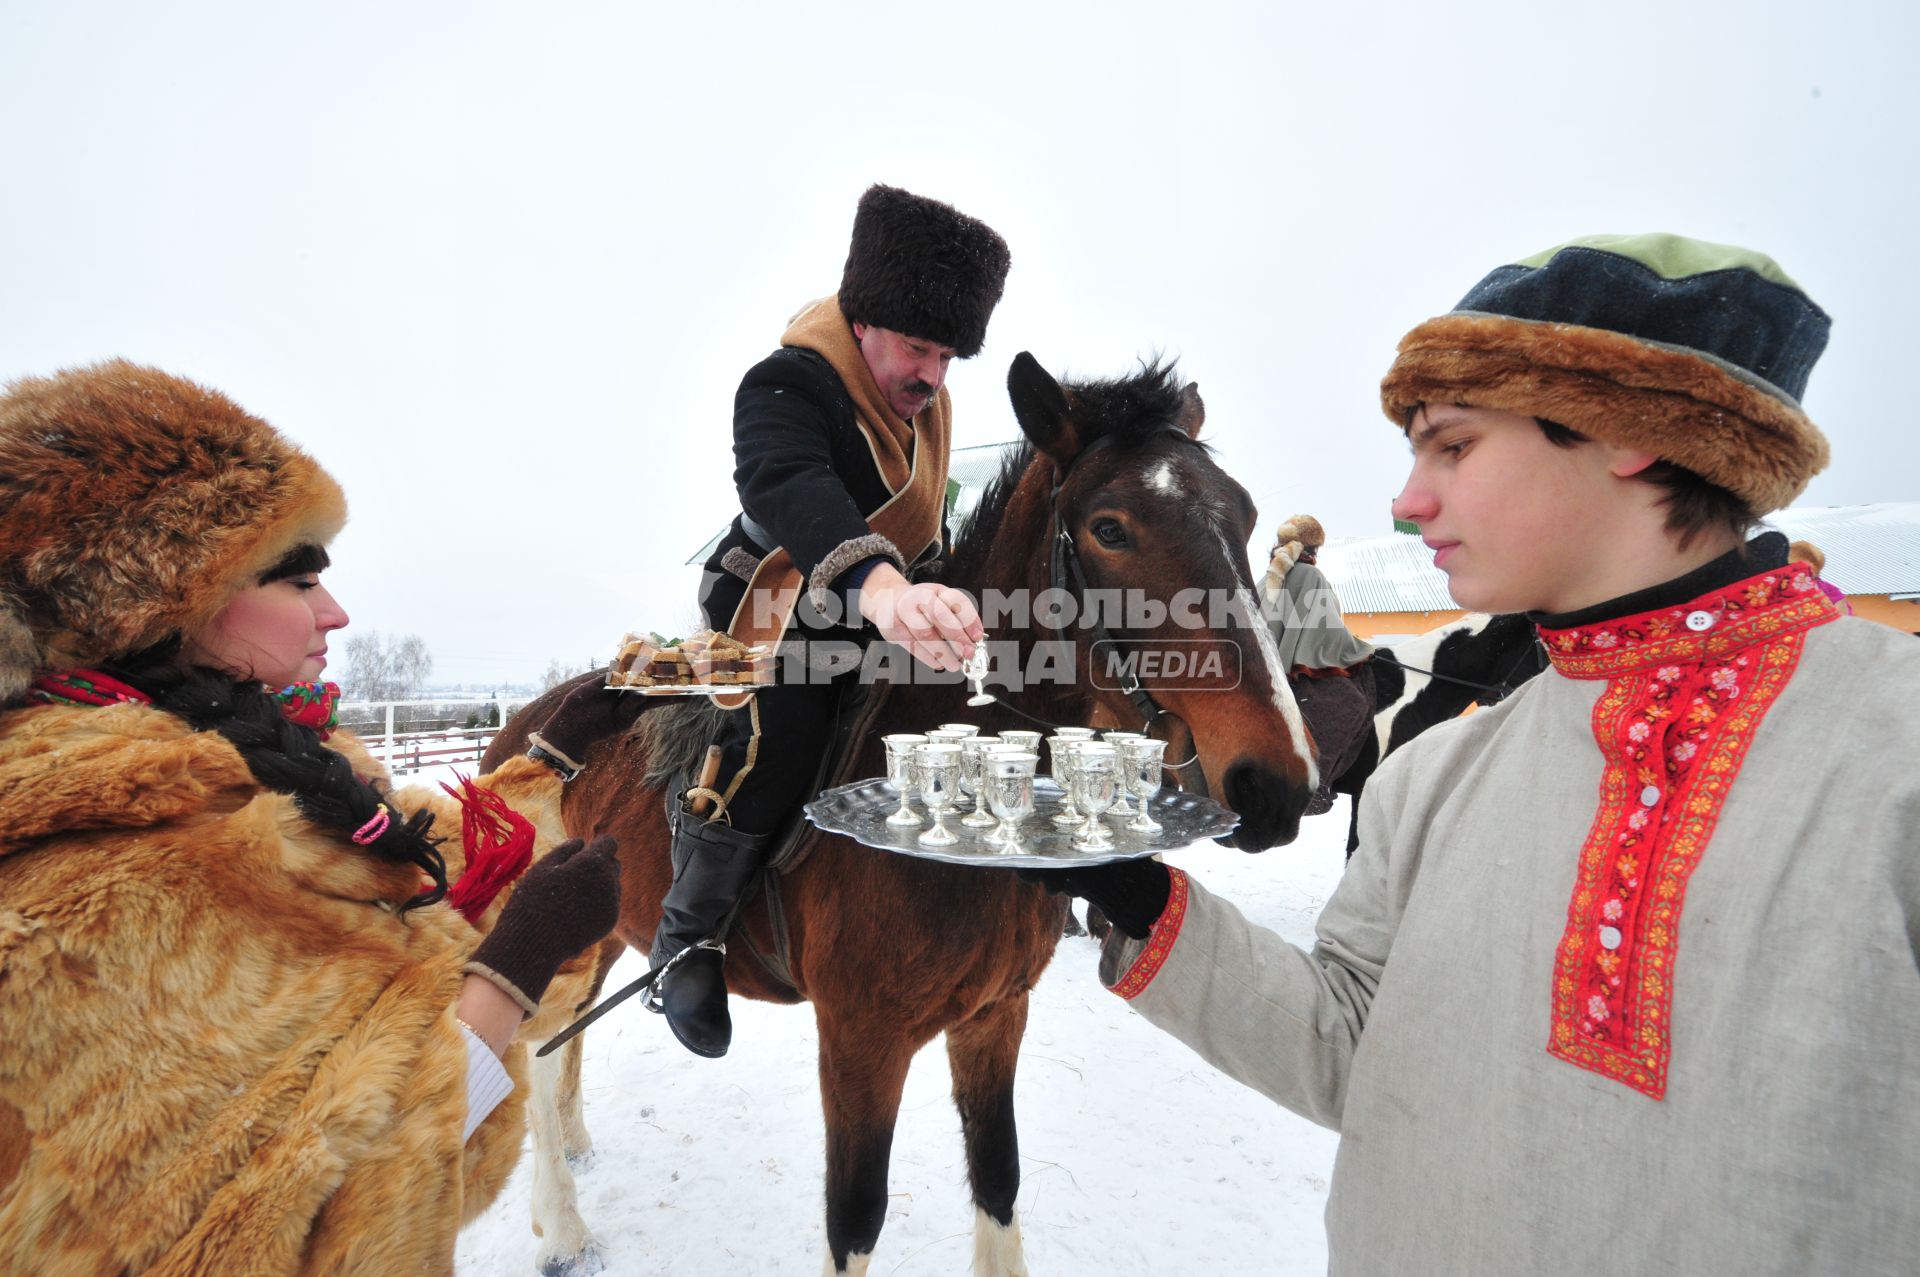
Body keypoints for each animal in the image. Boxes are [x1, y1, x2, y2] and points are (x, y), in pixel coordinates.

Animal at [487, 353, 1313, 1275]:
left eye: (1243, 515)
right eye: (1110, 526)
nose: (1275, 781)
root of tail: (525, 726)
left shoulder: (994, 1018)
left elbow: (998, 1179)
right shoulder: (860, 1042)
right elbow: (855, 1216)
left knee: (562, 1047)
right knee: (531, 1051)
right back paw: (562, 1224)